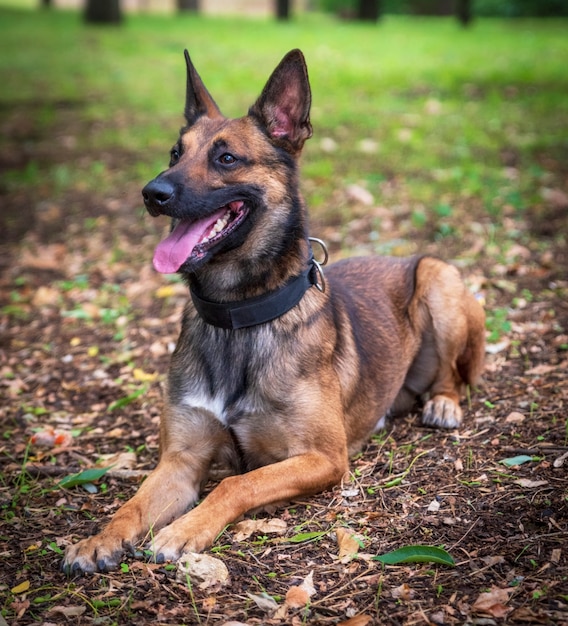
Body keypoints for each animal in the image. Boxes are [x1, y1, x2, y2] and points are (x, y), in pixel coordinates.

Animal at [63, 50, 484, 576]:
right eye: (174, 154)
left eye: (226, 158)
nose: (152, 193)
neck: (238, 317)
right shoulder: (180, 463)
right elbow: (134, 503)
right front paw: (99, 539)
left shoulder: (323, 458)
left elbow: (236, 482)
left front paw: (183, 530)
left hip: (435, 275)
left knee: (453, 374)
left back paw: (443, 403)